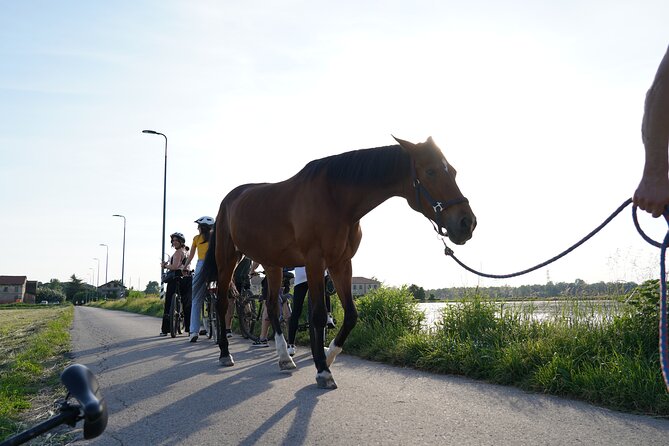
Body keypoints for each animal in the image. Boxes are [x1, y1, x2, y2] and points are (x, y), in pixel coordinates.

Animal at [198, 135, 474, 386]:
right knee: (222, 304)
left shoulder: (341, 263)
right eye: (431, 171)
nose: (467, 223)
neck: (336, 200)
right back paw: (225, 353)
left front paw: (328, 356)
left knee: (273, 307)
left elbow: (351, 315)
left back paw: (284, 358)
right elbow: (319, 315)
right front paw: (322, 370)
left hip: (272, 264)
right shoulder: (314, 262)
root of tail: (229, 200)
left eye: (454, 171)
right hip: (227, 259)